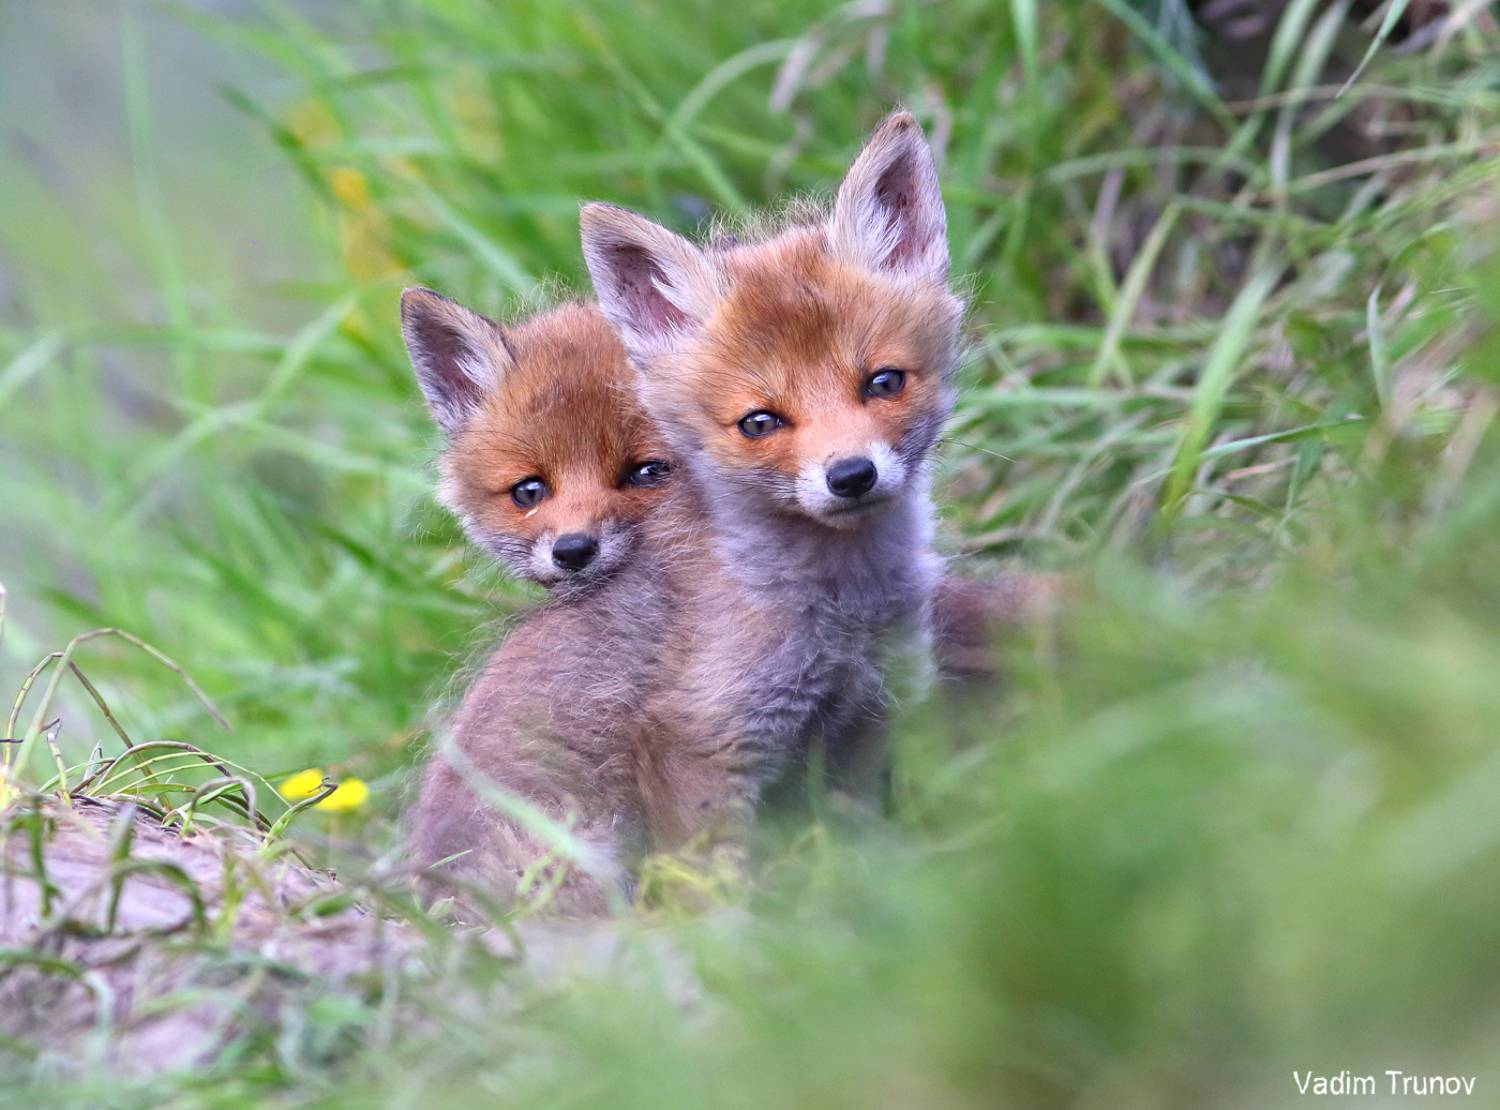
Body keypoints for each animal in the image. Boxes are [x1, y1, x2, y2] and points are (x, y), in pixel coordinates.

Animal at [405, 113, 1010, 915]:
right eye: (759, 422)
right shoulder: (697, 737)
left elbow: (857, 846)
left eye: (883, 382)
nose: (850, 475)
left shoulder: (865, 713)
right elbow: (715, 885)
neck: (841, 608)